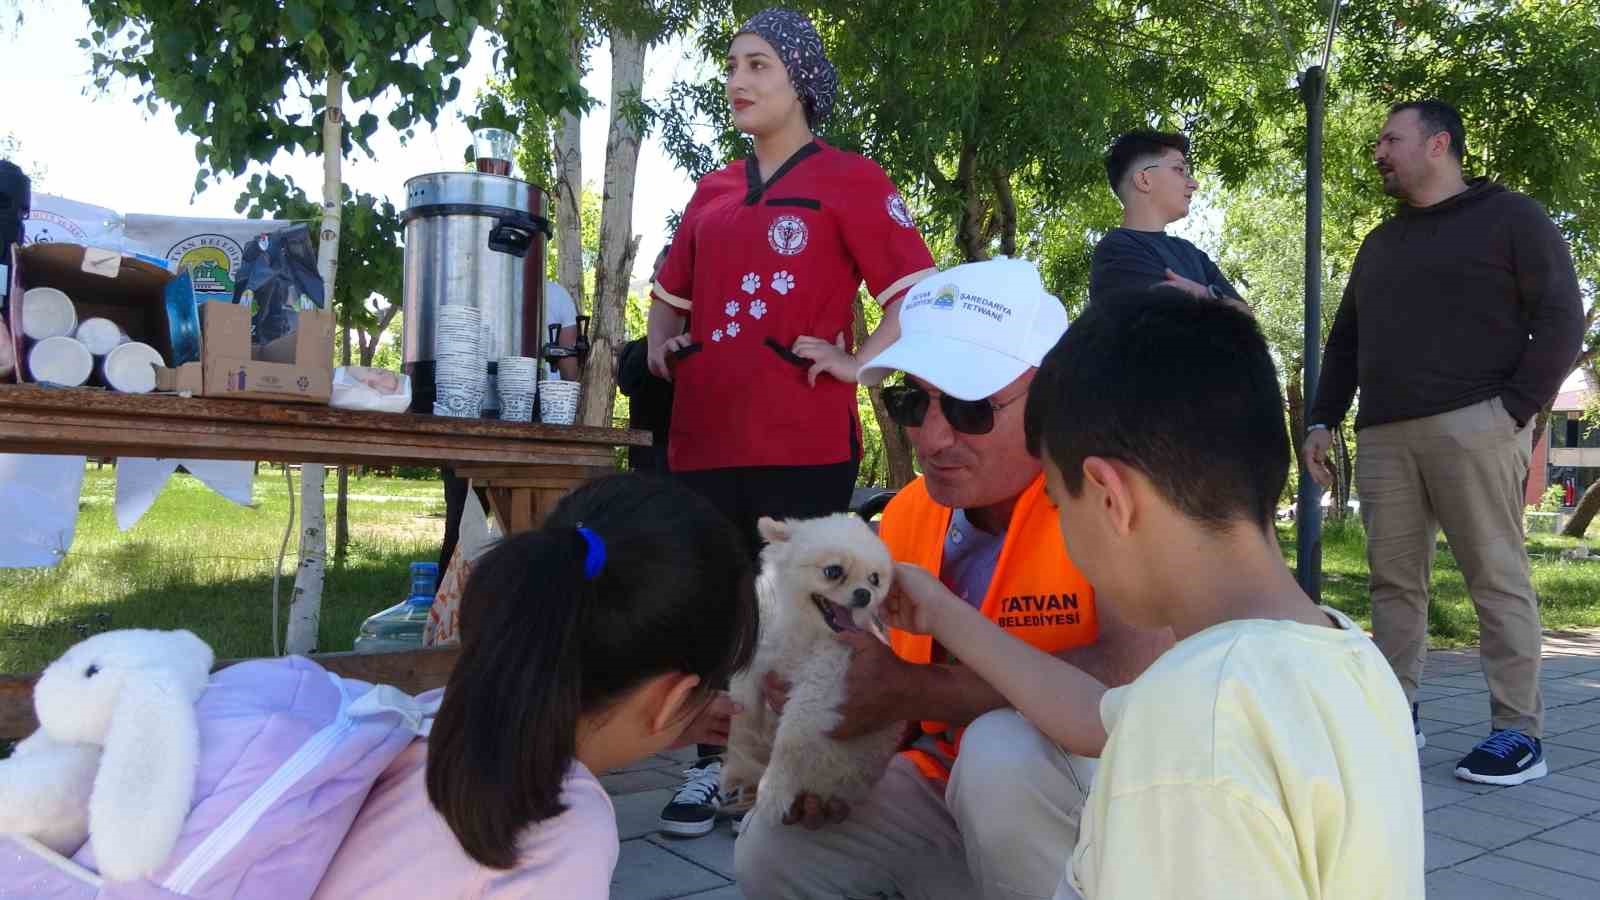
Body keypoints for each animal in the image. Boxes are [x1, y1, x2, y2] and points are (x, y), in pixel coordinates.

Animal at [723, 512, 902, 819]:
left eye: (875, 579)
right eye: (833, 571)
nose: (864, 594)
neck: (801, 627)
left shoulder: (821, 680)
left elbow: (790, 741)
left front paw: (772, 791)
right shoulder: (754, 663)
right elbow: (742, 719)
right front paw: (738, 763)